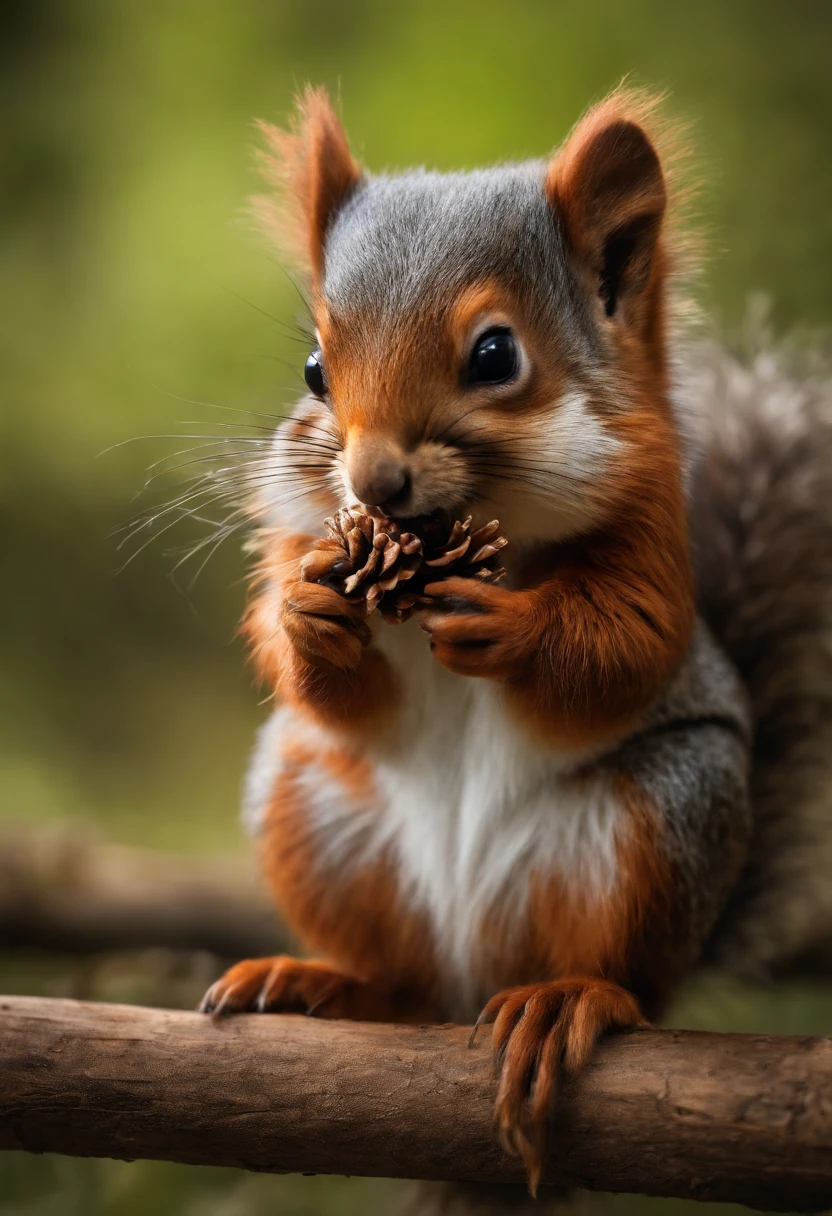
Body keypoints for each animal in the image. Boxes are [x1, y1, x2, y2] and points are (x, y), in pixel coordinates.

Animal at [197, 88, 832, 1206]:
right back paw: (327, 984)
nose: (373, 483)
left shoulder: (651, 543)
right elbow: (319, 673)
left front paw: (508, 624)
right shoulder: (303, 537)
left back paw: (562, 1001)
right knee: (407, 987)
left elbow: (624, 646)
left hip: (662, 819)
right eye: (313, 367)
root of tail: (478, 975)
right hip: (310, 803)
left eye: (495, 356)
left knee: (620, 980)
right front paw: (306, 614)